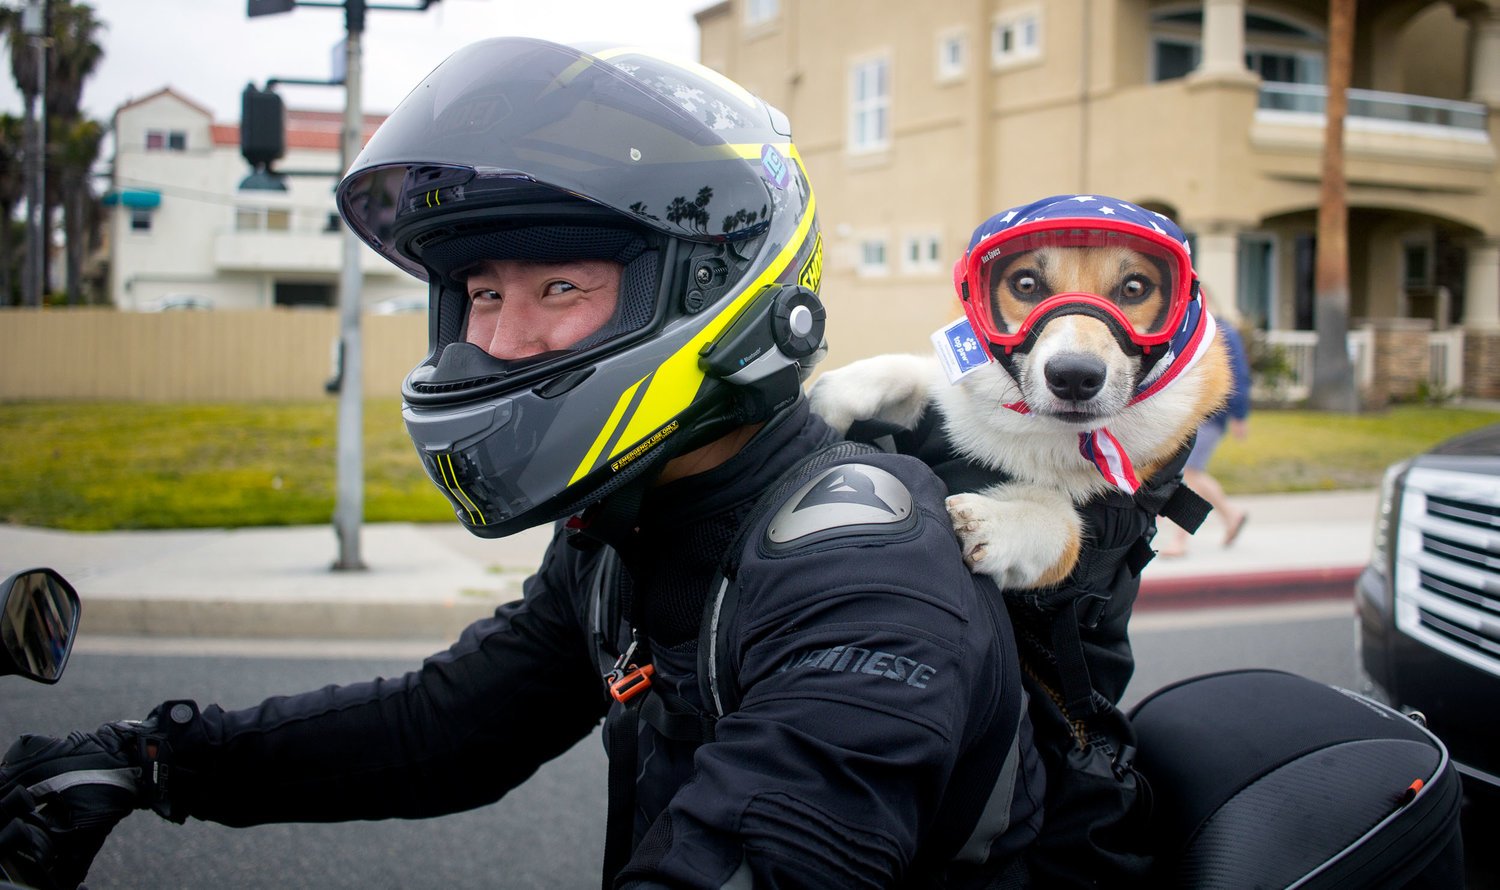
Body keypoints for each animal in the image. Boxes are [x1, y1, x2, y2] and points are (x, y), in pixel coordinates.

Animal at [810, 196, 1230, 591]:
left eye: (1134, 287)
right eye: (1026, 284)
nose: (1073, 375)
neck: (1036, 430)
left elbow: (1060, 524)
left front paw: (988, 522)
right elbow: (912, 374)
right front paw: (833, 396)